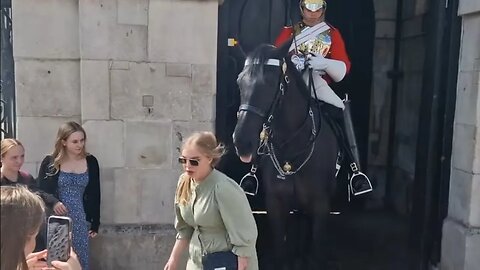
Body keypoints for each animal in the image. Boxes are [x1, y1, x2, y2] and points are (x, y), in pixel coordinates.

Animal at [232, 40, 338, 270]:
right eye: (239, 82)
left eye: (271, 84)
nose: (242, 142)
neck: (293, 149)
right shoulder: (276, 204)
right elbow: (281, 252)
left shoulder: (320, 205)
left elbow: (316, 254)